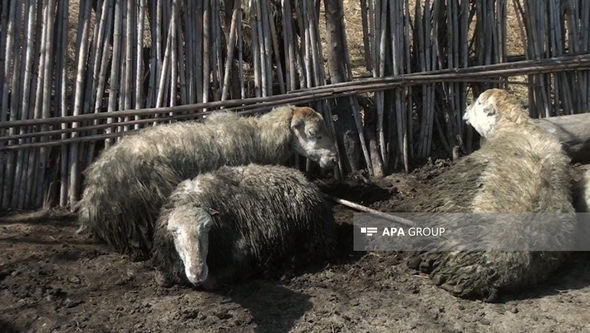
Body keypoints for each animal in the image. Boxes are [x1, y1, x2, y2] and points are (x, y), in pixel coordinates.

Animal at [150, 163, 336, 286]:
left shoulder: (240, 256)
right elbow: (161, 279)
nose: (198, 272)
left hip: (312, 239)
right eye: (174, 232)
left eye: (208, 227)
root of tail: (302, 177)